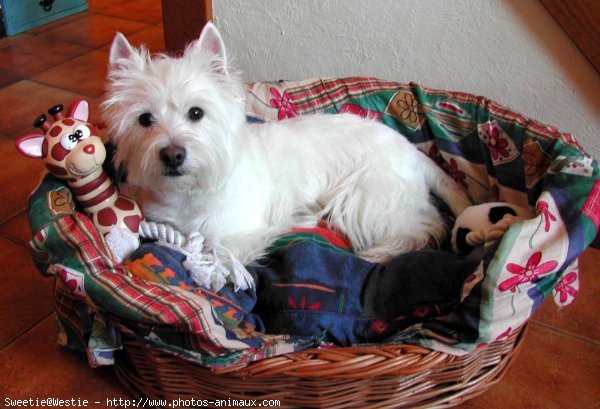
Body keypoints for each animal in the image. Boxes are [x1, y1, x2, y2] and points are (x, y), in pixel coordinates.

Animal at [102, 23, 468, 264]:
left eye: (196, 112)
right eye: (144, 119)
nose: (173, 155)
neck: (190, 193)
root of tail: (411, 149)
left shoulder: (239, 231)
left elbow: (221, 253)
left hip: (366, 197)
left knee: (424, 226)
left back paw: (380, 252)